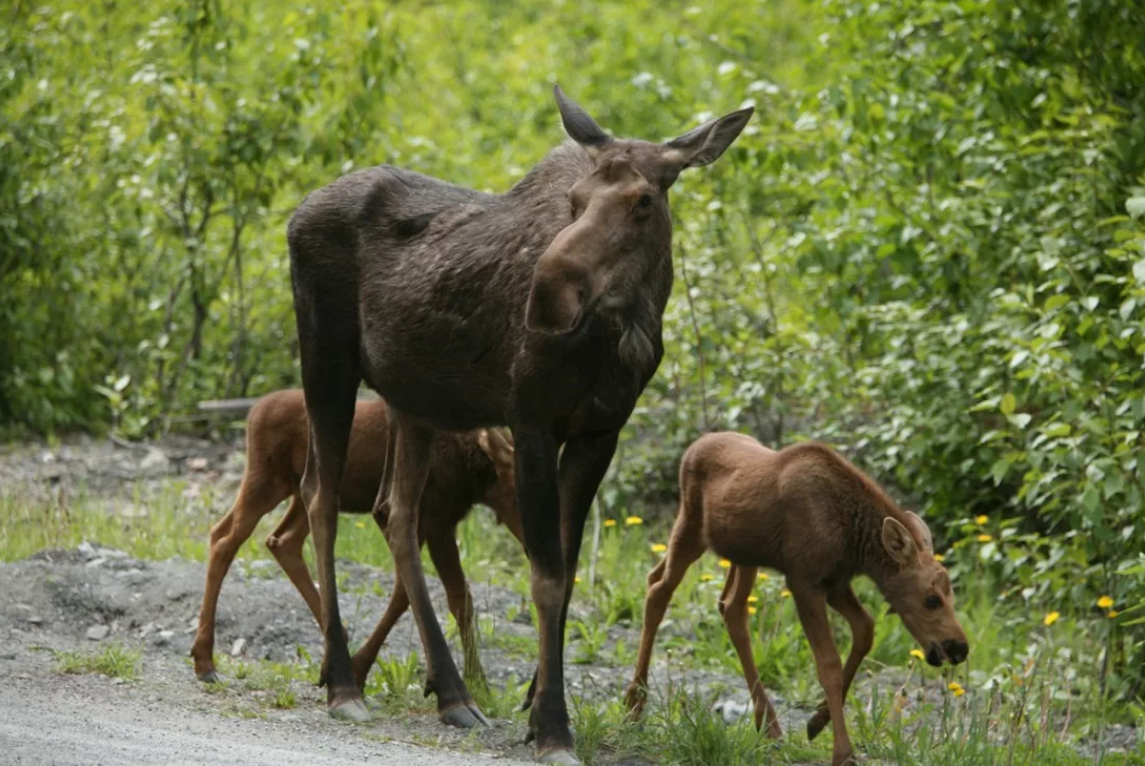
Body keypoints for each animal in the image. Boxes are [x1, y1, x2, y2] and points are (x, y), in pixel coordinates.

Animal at [288, 83, 751, 760]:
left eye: (643, 201)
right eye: (575, 200)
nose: (548, 294)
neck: (624, 333)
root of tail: (296, 214)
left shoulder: (598, 433)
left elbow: (567, 566)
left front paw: (536, 705)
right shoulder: (531, 423)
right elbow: (547, 576)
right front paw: (553, 724)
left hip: (412, 402)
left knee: (394, 513)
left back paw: (450, 692)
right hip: (326, 361)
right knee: (320, 498)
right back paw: (344, 682)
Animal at [627, 432, 966, 760]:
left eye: (952, 596)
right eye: (931, 600)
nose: (959, 648)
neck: (854, 544)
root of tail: (692, 448)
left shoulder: (836, 583)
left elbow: (865, 628)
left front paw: (817, 721)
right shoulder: (805, 581)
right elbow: (828, 664)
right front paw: (842, 752)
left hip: (744, 555)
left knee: (723, 605)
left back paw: (766, 722)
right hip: (691, 527)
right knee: (659, 591)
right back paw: (634, 702)